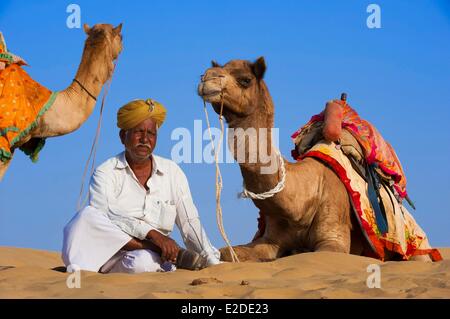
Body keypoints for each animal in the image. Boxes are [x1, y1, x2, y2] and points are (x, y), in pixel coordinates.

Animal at [199, 57, 430, 262]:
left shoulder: (334, 233)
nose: (206, 77)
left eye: (245, 79)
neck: (303, 197)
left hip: (416, 246)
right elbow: (227, 253)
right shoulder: (270, 238)